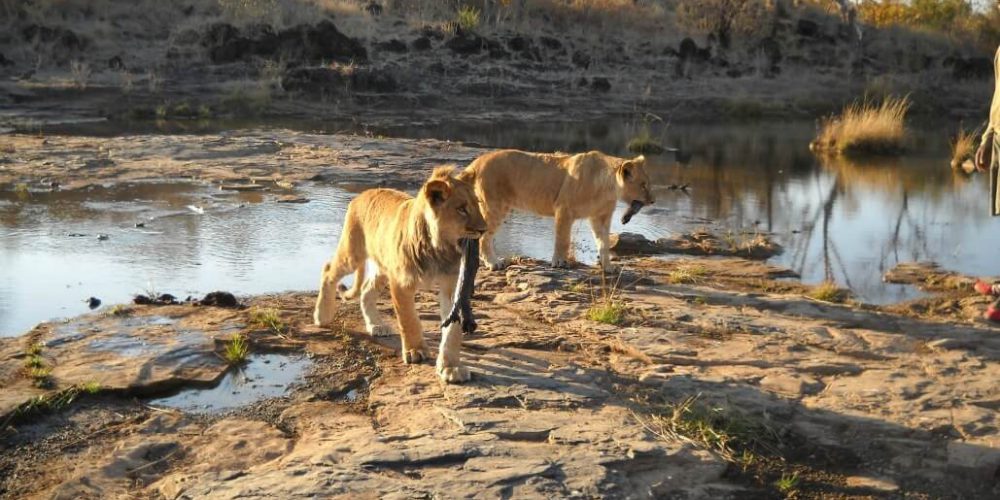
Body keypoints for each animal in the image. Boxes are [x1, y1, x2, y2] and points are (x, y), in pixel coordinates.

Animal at [310, 167, 486, 382]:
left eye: (478, 205)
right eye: (461, 209)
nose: (483, 230)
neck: (438, 250)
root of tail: (362, 194)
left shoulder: (452, 286)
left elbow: (452, 330)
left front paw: (451, 367)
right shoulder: (401, 282)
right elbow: (408, 319)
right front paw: (415, 351)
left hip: (382, 266)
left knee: (366, 290)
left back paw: (376, 326)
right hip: (353, 254)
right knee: (328, 270)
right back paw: (322, 316)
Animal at [458, 150, 656, 272]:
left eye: (648, 182)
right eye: (643, 185)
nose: (653, 200)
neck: (608, 189)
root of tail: (475, 162)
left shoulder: (600, 217)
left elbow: (604, 243)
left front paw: (608, 267)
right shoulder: (564, 210)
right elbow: (563, 240)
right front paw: (560, 262)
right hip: (496, 206)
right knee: (484, 237)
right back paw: (494, 263)